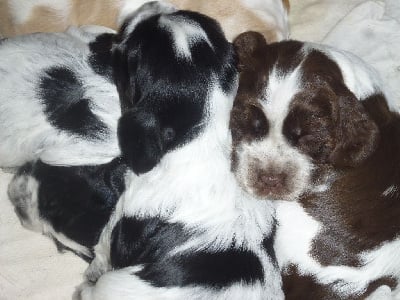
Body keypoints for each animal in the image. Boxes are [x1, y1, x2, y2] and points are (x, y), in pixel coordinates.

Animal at [72, 7, 284, 300]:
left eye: (129, 52)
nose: (149, 6)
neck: (200, 138)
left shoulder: (119, 221)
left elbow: (102, 252)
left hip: (111, 285)